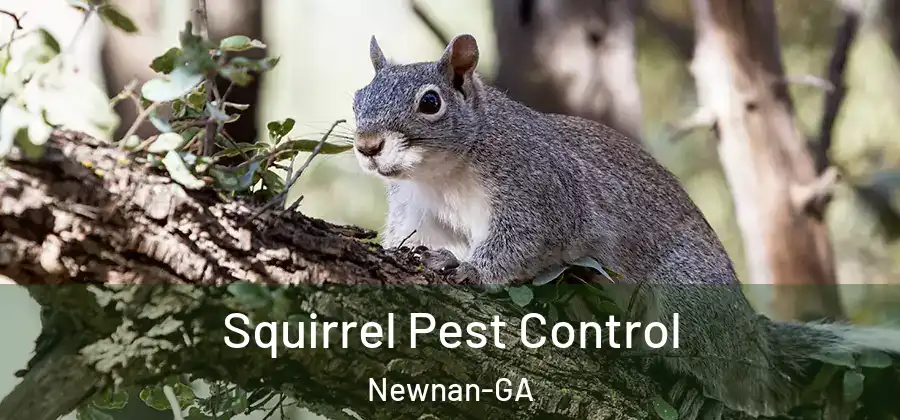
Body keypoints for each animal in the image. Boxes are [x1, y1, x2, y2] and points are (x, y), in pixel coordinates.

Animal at [350, 34, 900, 418]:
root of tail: (751, 333)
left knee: (740, 381)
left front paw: (470, 269)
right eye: (358, 97)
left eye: (430, 102)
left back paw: (702, 390)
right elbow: (411, 238)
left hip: (689, 298)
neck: (441, 173)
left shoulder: (542, 191)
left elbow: (522, 242)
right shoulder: (418, 211)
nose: (367, 146)